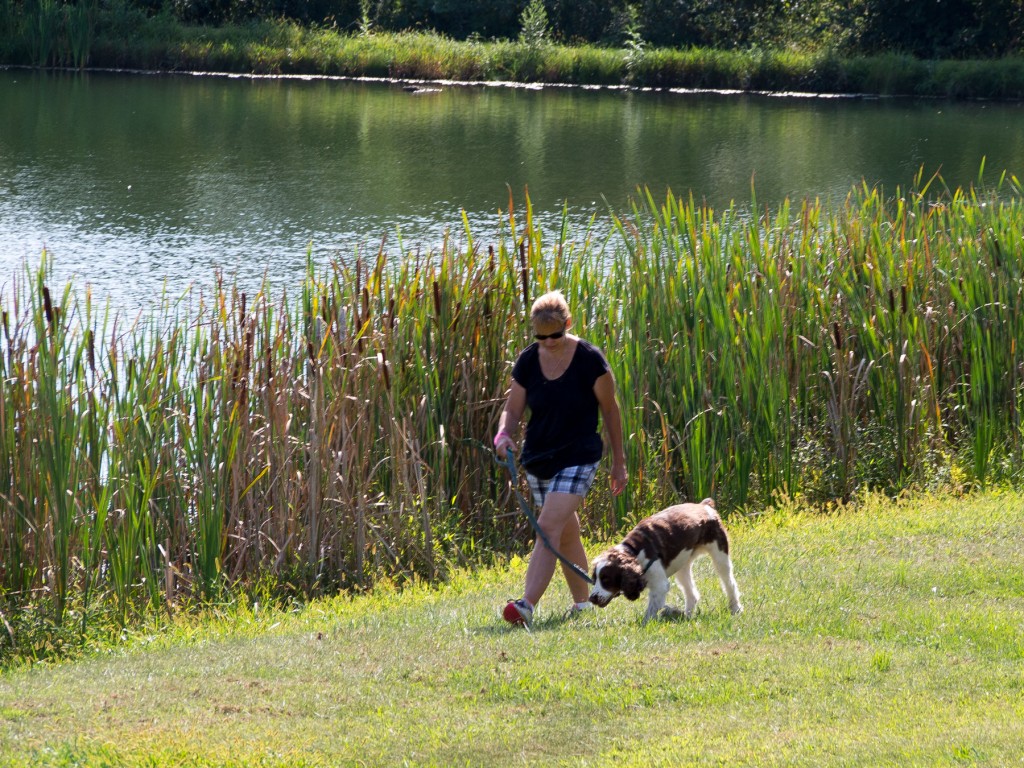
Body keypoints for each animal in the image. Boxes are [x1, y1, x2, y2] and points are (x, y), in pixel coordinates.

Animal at [585, 501, 745, 622]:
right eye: (594, 579)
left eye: (606, 579)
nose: (592, 598)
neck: (635, 550)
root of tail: (704, 505)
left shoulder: (659, 584)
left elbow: (651, 609)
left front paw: (646, 623)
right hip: (682, 565)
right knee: (692, 593)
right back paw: (687, 616)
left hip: (719, 554)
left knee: (729, 582)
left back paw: (735, 608)